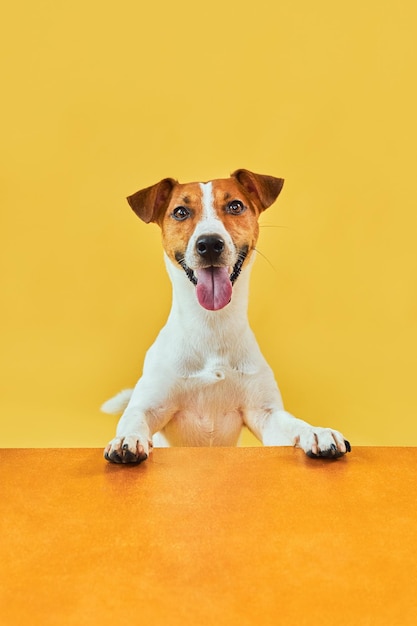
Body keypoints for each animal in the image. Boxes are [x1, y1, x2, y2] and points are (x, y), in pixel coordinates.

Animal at [102, 171, 350, 464]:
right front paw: (126, 439)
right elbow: (134, 418)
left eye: (235, 206)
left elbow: (293, 424)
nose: (209, 244)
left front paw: (317, 432)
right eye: (180, 211)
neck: (212, 325)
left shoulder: (265, 414)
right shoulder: (149, 406)